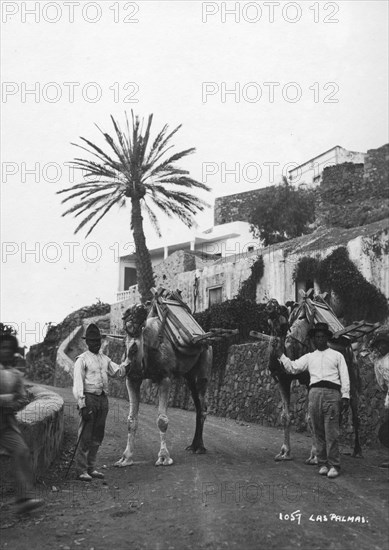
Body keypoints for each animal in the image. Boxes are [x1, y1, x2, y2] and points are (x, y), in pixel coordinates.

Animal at [113, 294, 212, 470]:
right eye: (127, 312)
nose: (140, 307)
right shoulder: (132, 379)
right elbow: (131, 420)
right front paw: (125, 459)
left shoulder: (165, 377)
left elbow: (162, 420)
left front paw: (164, 458)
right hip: (189, 377)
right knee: (197, 405)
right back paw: (193, 446)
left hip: (204, 364)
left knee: (203, 406)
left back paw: (200, 447)